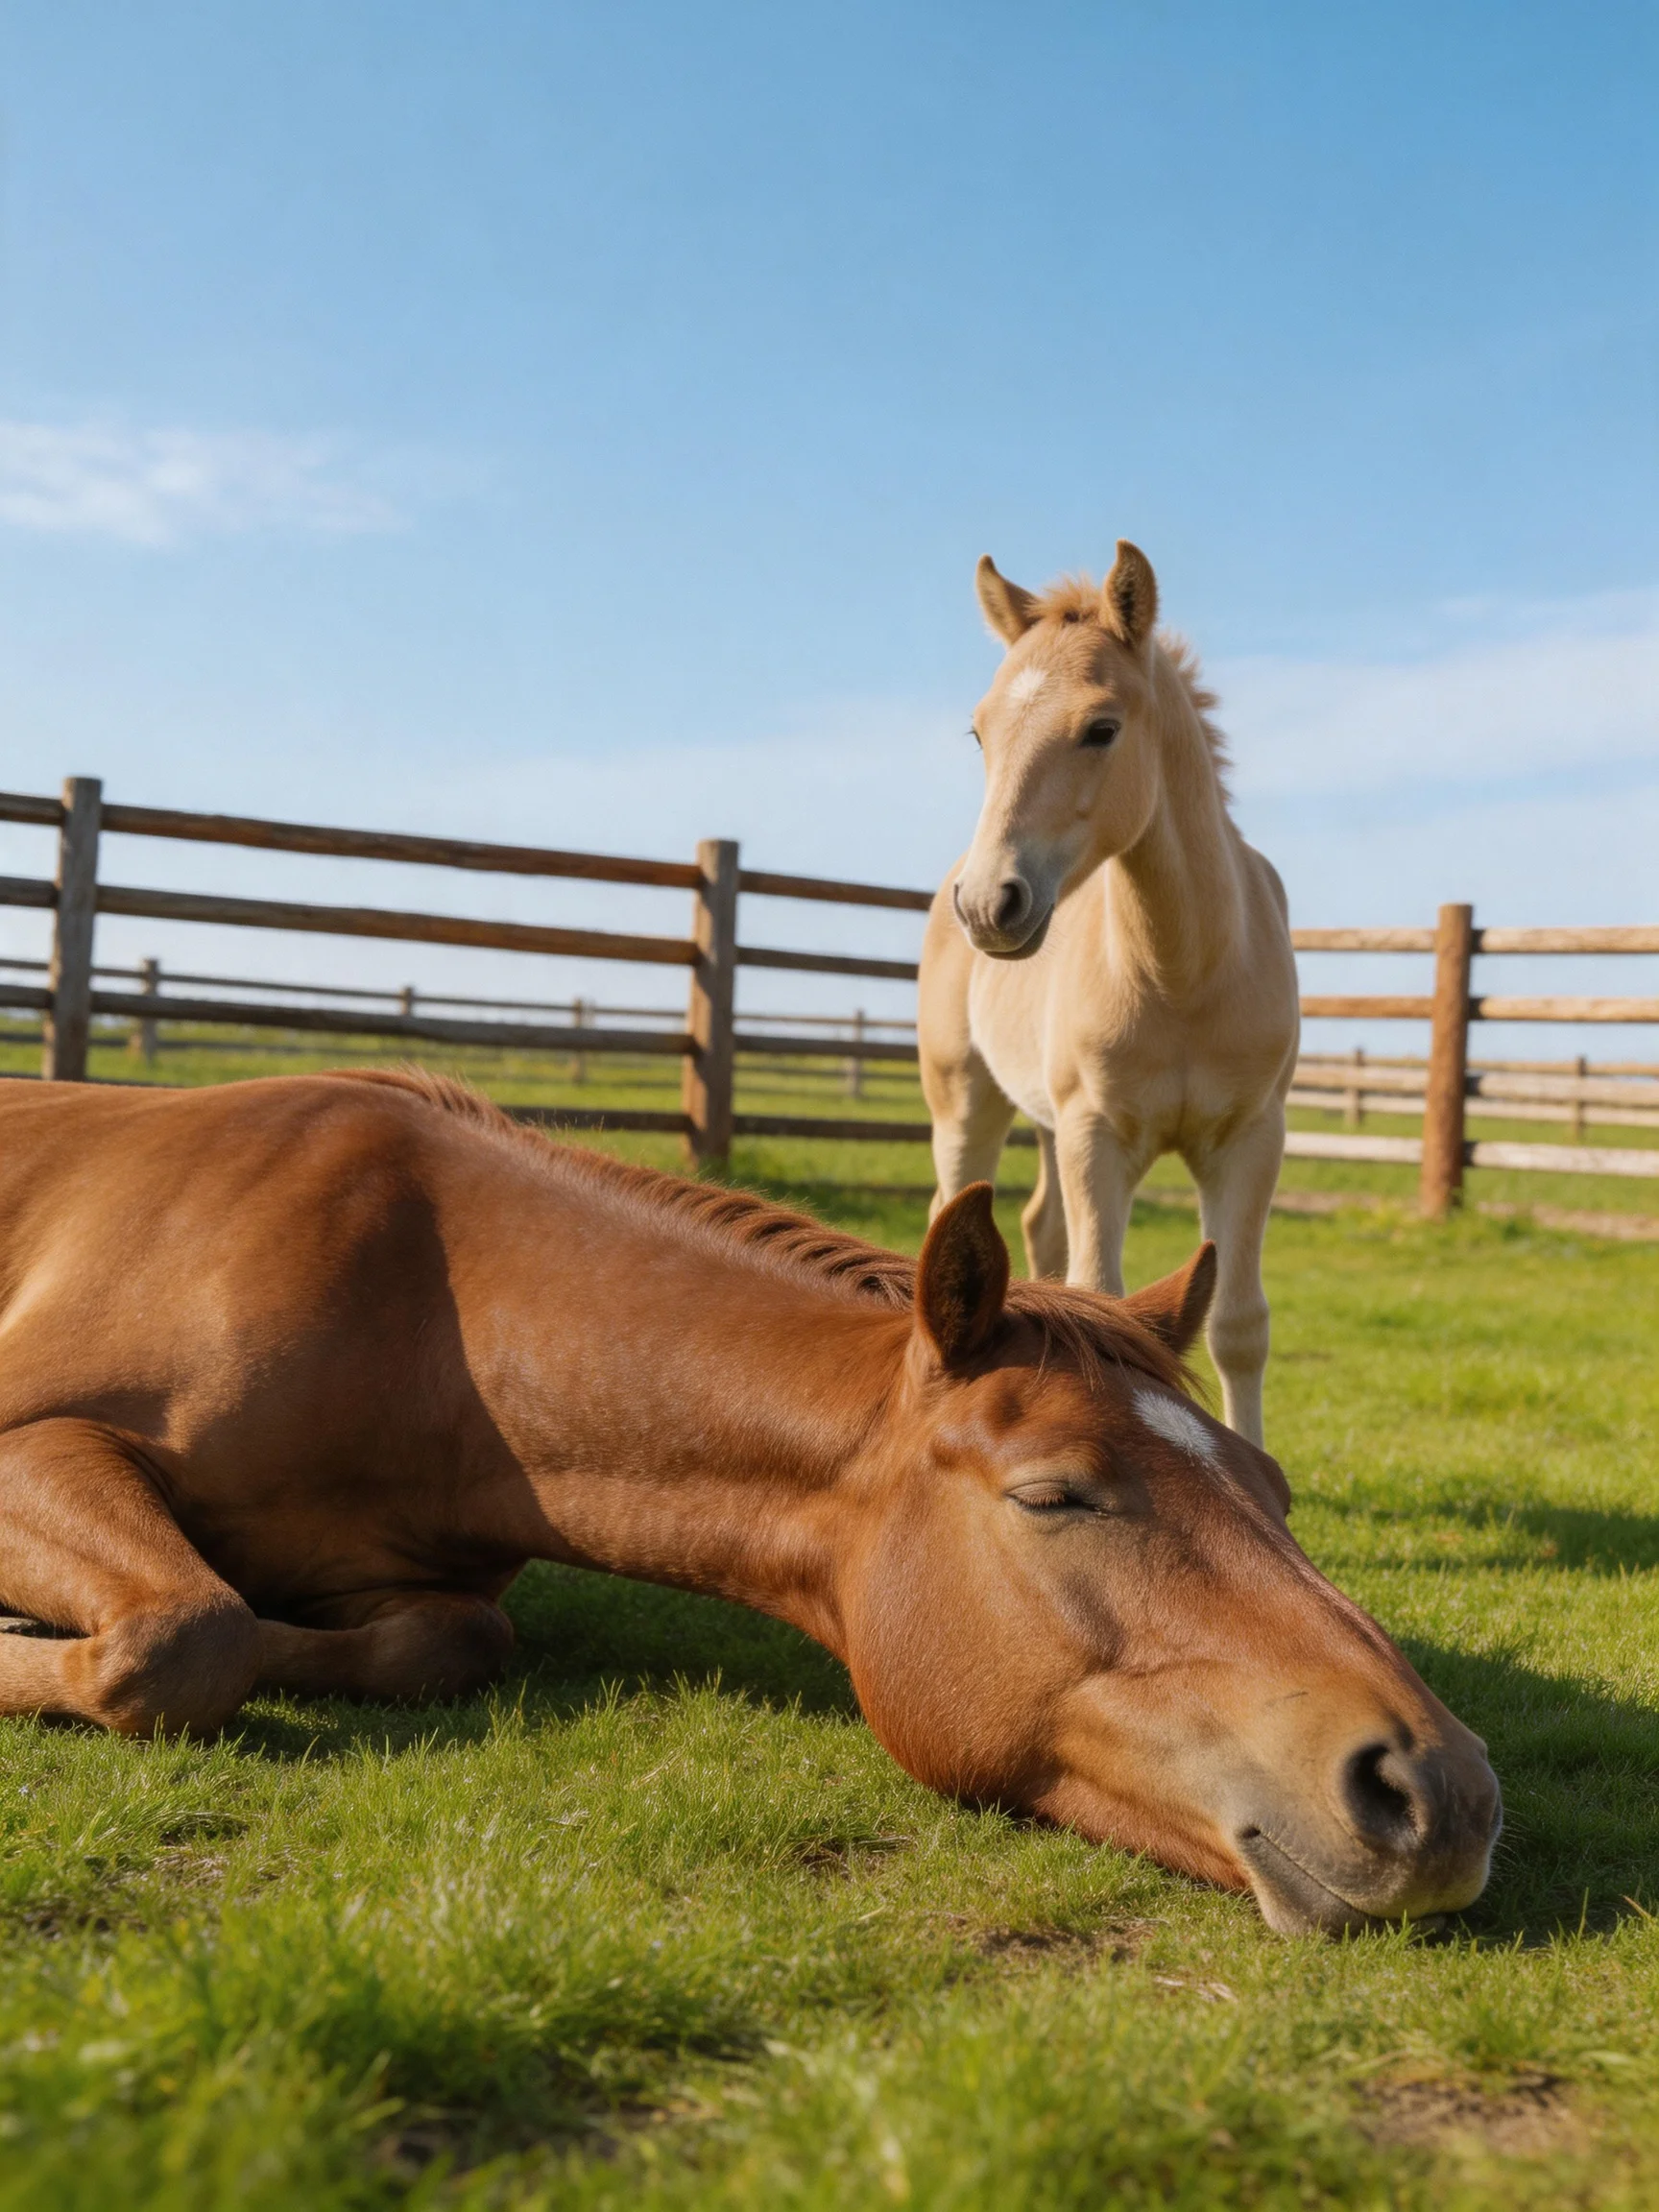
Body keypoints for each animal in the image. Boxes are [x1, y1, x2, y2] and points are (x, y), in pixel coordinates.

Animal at [0, 1071, 1497, 1933]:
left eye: (1274, 1489)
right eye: (1055, 1495)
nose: (1443, 1791)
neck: (423, 1302)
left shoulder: (426, 1587)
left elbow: (429, 1638)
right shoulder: (32, 1441)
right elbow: (186, 1636)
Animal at [919, 541, 1300, 1446]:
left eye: (1101, 728)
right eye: (979, 732)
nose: (988, 904)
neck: (1185, 970)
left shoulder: (1251, 1139)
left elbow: (1240, 1324)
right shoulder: (1099, 1135)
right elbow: (1101, 1296)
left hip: (1049, 1123)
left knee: (1039, 1229)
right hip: (968, 1105)